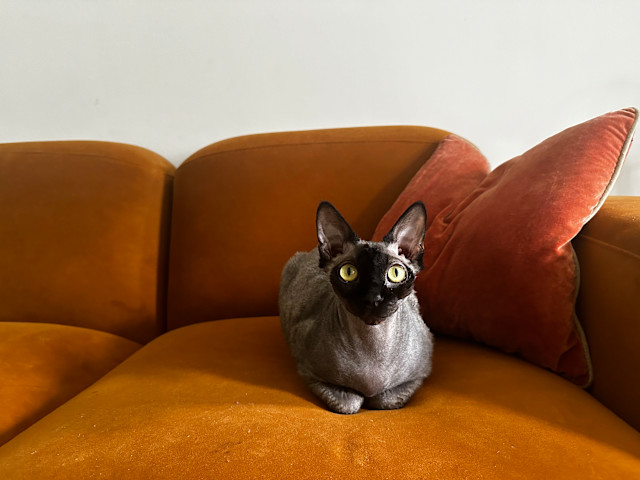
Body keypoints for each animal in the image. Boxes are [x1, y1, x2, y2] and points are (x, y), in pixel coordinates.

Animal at [278, 201, 432, 414]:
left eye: (395, 273)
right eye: (348, 272)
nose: (373, 298)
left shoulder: (421, 372)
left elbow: (386, 400)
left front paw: (375, 398)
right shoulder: (307, 371)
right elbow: (349, 403)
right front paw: (357, 398)